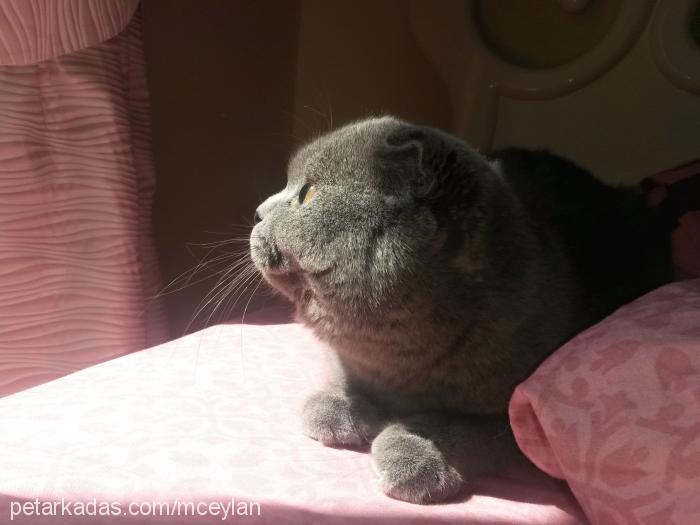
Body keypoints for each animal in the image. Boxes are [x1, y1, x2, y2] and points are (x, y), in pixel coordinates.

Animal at [249, 115, 668, 504]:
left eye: (308, 194)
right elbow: (341, 365)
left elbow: (462, 427)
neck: (402, 356)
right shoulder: (351, 352)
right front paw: (338, 405)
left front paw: (417, 453)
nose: (257, 210)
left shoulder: (516, 417)